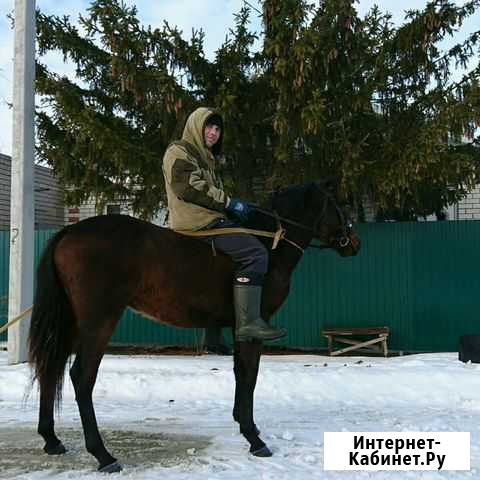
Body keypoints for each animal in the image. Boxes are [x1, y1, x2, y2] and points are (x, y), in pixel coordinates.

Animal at [28, 180, 358, 472]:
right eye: (341, 204)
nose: (355, 243)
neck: (269, 243)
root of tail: (69, 231)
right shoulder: (255, 328)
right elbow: (250, 375)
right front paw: (254, 437)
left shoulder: (239, 328)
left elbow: (240, 373)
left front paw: (242, 422)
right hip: (98, 322)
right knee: (81, 377)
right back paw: (103, 455)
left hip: (71, 322)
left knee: (51, 367)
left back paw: (51, 439)